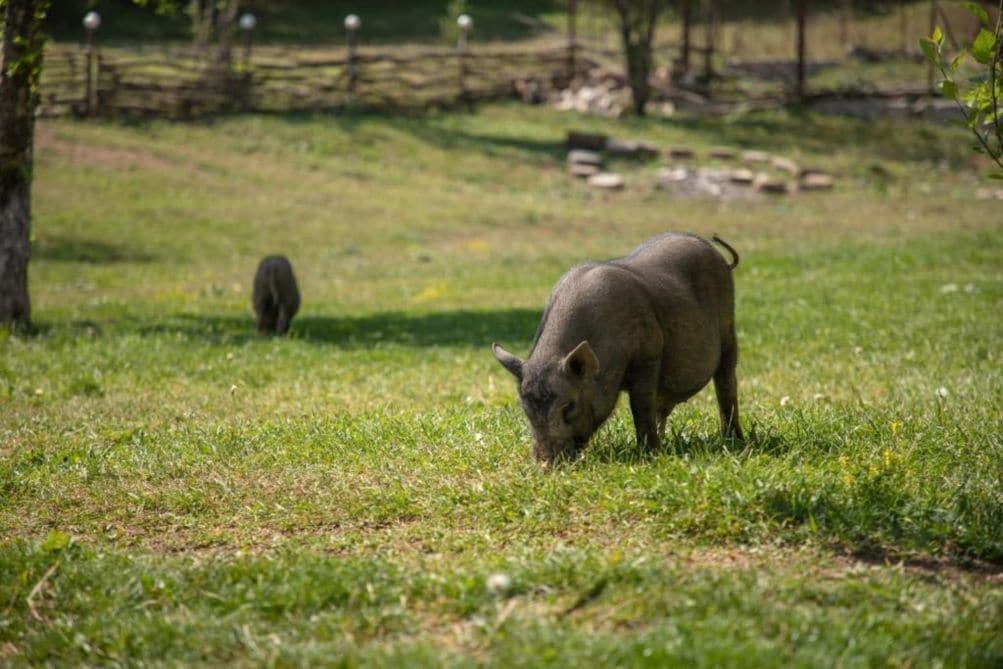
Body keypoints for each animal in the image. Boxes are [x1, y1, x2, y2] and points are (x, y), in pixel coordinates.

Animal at [492, 233, 742, 464]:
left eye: (569, 406)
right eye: (526, 409)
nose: (544, 463)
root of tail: (713, 250)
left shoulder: (649, 353)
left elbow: (640, 405)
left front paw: (649, 453)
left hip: (729, 330)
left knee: (726, 384)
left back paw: (734, 441)